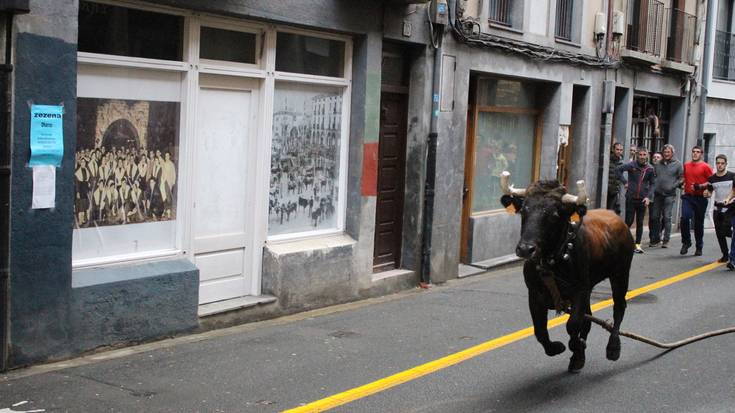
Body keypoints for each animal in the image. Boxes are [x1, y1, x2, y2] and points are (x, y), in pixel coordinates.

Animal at [504, 176, 636, 370]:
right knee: (589, 318)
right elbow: (540, 330)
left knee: (619, 307)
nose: (526, 249)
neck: (551, 262)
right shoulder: (535, 295)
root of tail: (617, 218)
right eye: (523, 211)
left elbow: (573, 325)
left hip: (620, 274)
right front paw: (558, 348)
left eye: (554, 214)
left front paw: (577, 346)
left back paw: (613, 347)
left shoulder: (579, 290)